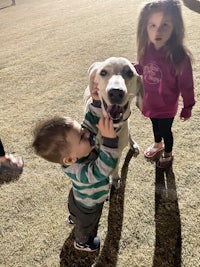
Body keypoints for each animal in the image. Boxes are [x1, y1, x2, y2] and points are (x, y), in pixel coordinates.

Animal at [83, 57, 143, 188]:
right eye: (103, 72)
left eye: (129, 73)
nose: (116, 92)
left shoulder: (118, 151)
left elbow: (115, 166)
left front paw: (115, 177)